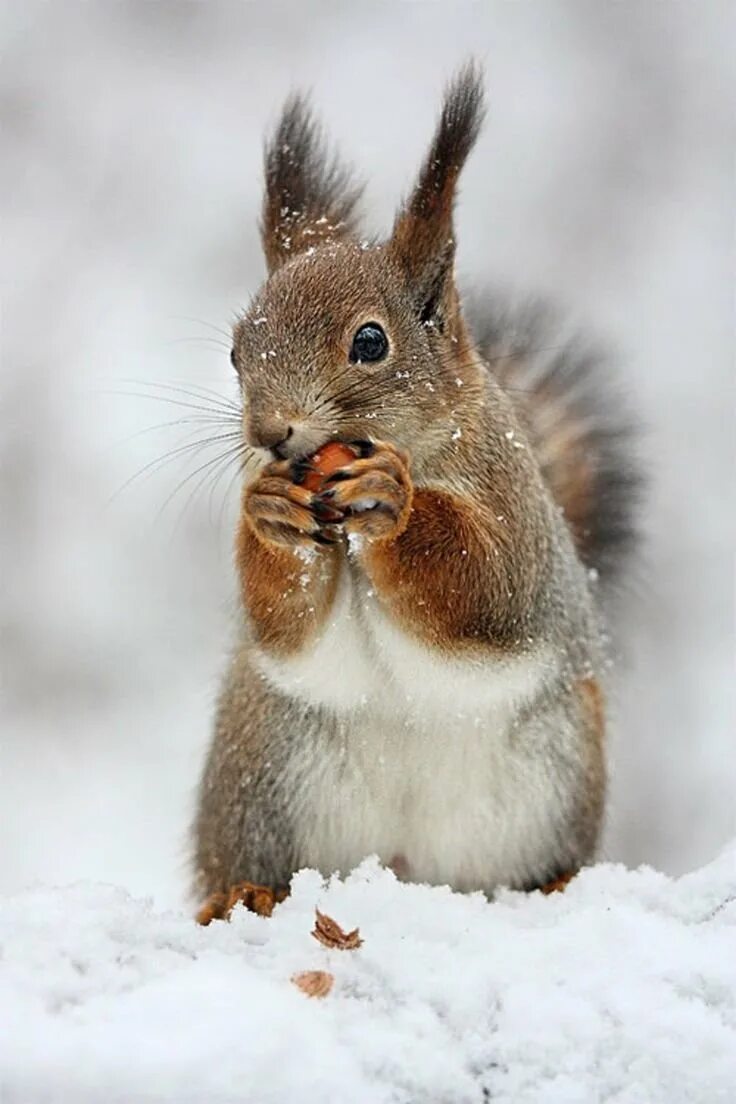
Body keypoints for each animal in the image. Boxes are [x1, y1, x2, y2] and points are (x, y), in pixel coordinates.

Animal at [189, 60, 640, 922]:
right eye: (234, 351)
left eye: (371, 341)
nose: (270, 432)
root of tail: (409, 871)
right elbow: (287, 627)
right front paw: (268, 516)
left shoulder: (515, 510)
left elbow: (485, 588)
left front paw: (395, 506)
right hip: (262, 771)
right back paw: (243, 894)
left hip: (557, 771)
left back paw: (555, 884)